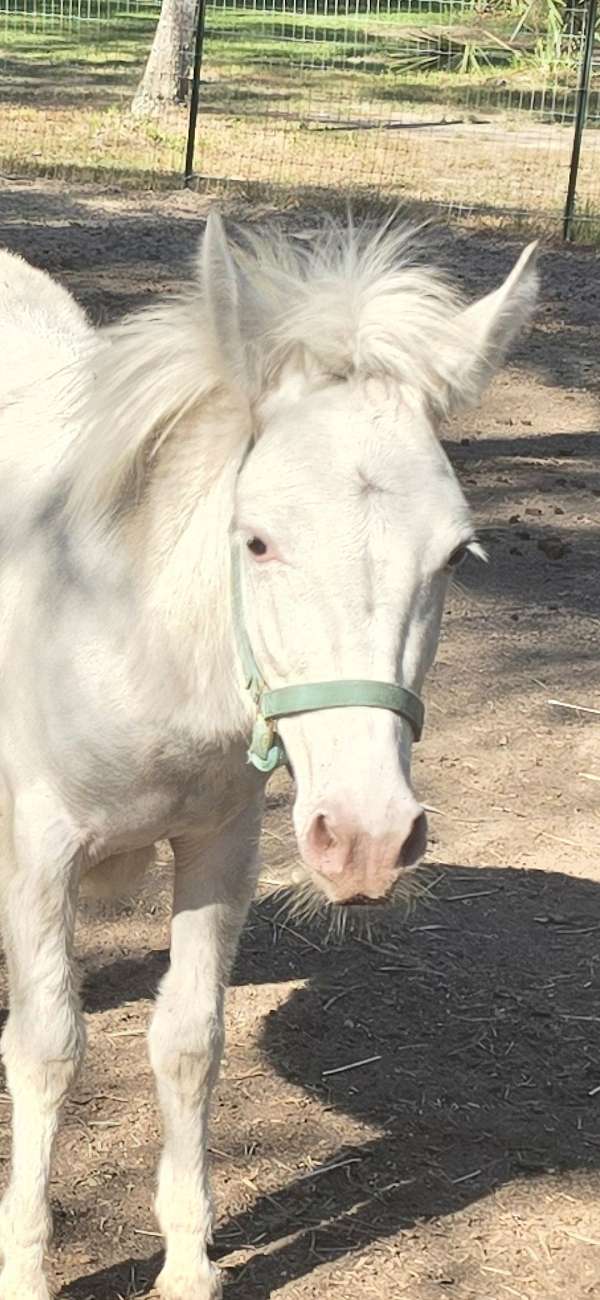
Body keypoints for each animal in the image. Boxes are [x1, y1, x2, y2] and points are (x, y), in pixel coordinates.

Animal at [0, 214, 537, 1299]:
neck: (133, 631)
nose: (368, 839)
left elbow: (188, 1041)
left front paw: (189, 1266)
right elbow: (48, 1048)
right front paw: (26, 1269)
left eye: (455, 556)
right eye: (255, 541)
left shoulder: (219, 845)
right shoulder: (40, 848)